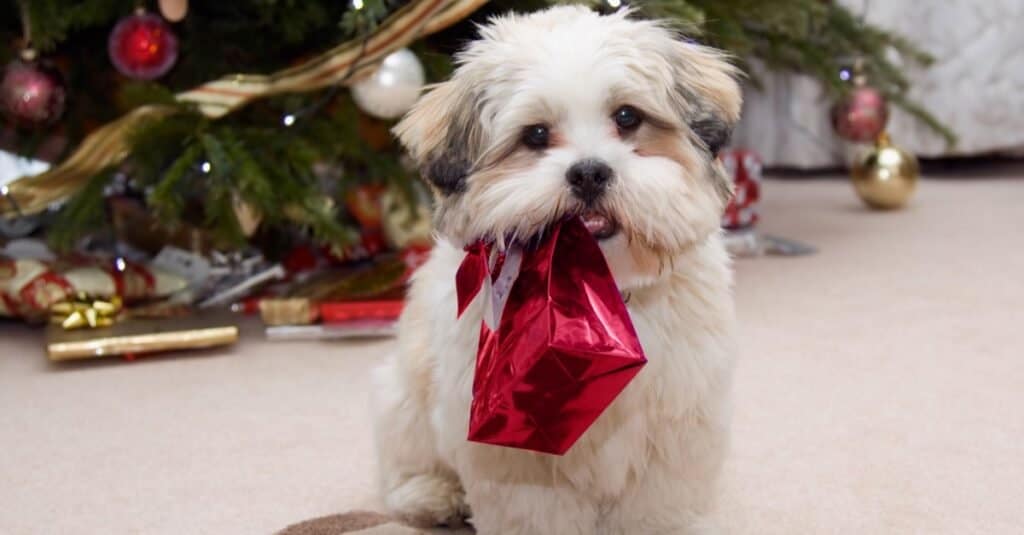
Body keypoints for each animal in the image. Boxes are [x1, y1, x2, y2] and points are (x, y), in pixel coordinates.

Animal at [372, 5, 741, 532]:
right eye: (536, 135)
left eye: (627, 117)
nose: (588, 172)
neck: (597, 295)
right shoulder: (519, 454)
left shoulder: (674, 430)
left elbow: (657, 508)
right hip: (402, 394)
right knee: (406, 460)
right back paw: (432, 495)